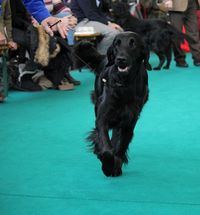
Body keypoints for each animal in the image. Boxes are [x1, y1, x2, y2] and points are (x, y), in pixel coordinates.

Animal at [73, 31, 150, 176]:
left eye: (133, 43)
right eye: (116, 44)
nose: (120, 59)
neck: (124, 85)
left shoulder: (129, 121)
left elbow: (120, 147)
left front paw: (116, 165)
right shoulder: (102, 118)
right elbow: (106, 148)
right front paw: (107, 166)